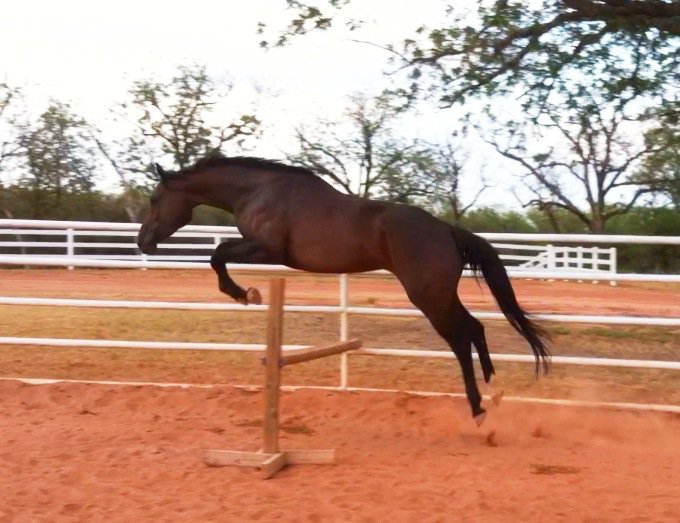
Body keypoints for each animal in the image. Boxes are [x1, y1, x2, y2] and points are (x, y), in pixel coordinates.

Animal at [137, 156, 550, 425]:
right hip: (442, 296)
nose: (143, 242)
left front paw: (244, 294)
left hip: (428, 299)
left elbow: (217, 255)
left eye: (154, 200)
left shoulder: (267, 249)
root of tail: (446, 229)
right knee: (475, 328)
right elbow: (218, 254)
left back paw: (478, 408)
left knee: (461, 339)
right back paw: (494, 390)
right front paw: (245, 293)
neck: (258, 191)